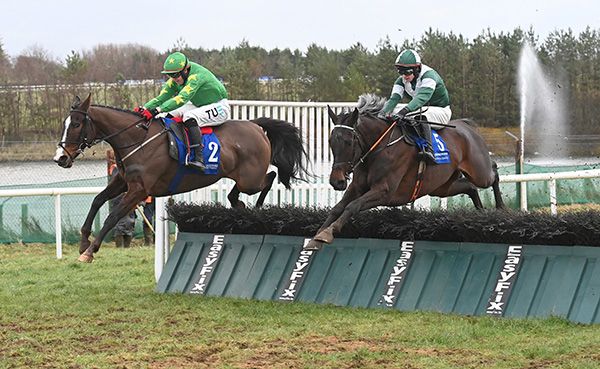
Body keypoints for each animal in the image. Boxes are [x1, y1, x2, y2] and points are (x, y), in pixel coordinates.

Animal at [54, 95, 310, 262]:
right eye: (65, 124)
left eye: (76, 124)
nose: (60, 158)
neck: (137, 139)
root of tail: (255, 126)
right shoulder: (123, 182)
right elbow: (97, 200)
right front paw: (83, 242)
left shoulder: (139, 190)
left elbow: (113, 216)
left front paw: (90, 251)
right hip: (242, 178)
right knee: (236, 192)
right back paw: (239, 206)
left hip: (250, 179)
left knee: (270, 177)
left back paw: (255, 208)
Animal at [308, 95, 504, 250]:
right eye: (331, 141)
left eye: (349, 142)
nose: (336, 181)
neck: (379, 146)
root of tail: (467, 126)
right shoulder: (356, 187)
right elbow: (337, 208)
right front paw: (318, 235)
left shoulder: (384, 191)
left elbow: (353, 206)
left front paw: (329, 232)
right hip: (442, 187)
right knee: (470, 188)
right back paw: (481, 215)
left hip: (479, 172)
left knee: (493, 171)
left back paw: (501, 208)